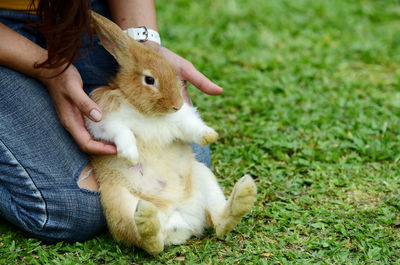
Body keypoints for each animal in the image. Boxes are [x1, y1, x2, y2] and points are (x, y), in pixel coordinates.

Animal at [86, 11, 258, 255]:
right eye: (149, 79)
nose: (176, 104)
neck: (143, 110)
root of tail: (180, 223)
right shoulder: (103, 122)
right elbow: (122, 132)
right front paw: (130, 154)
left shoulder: (179, 120)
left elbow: (191, 125)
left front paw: (209, 135)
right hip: (117, 203)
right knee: (151, 243)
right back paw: (147, 219)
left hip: (203, 177)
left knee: (220, 223)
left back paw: (244, 194)